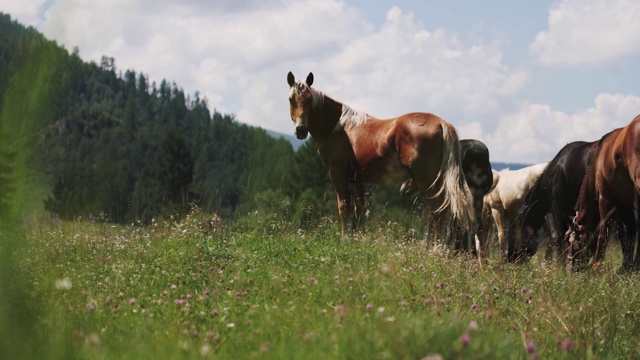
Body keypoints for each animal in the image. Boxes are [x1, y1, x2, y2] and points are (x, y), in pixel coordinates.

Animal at [286, 73, 476, 248]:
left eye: (310, 100)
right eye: (291, 99)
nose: (301, 130)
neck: (339, 127)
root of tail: (441, 123)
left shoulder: (337, 173)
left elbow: (344, 207)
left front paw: (345, 240)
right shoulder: (356, 179)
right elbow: (360, 210)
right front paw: (358, 240)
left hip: (425, 179)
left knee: (438, 210)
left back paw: (437, 250)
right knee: (445, 210)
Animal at [568, 114, 640, 270]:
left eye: (571, 243)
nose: (569, 269)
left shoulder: (607, 198)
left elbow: (604, 232)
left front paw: (597, 266)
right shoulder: (626, 205)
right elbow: (629, 233)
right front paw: (629, 267)